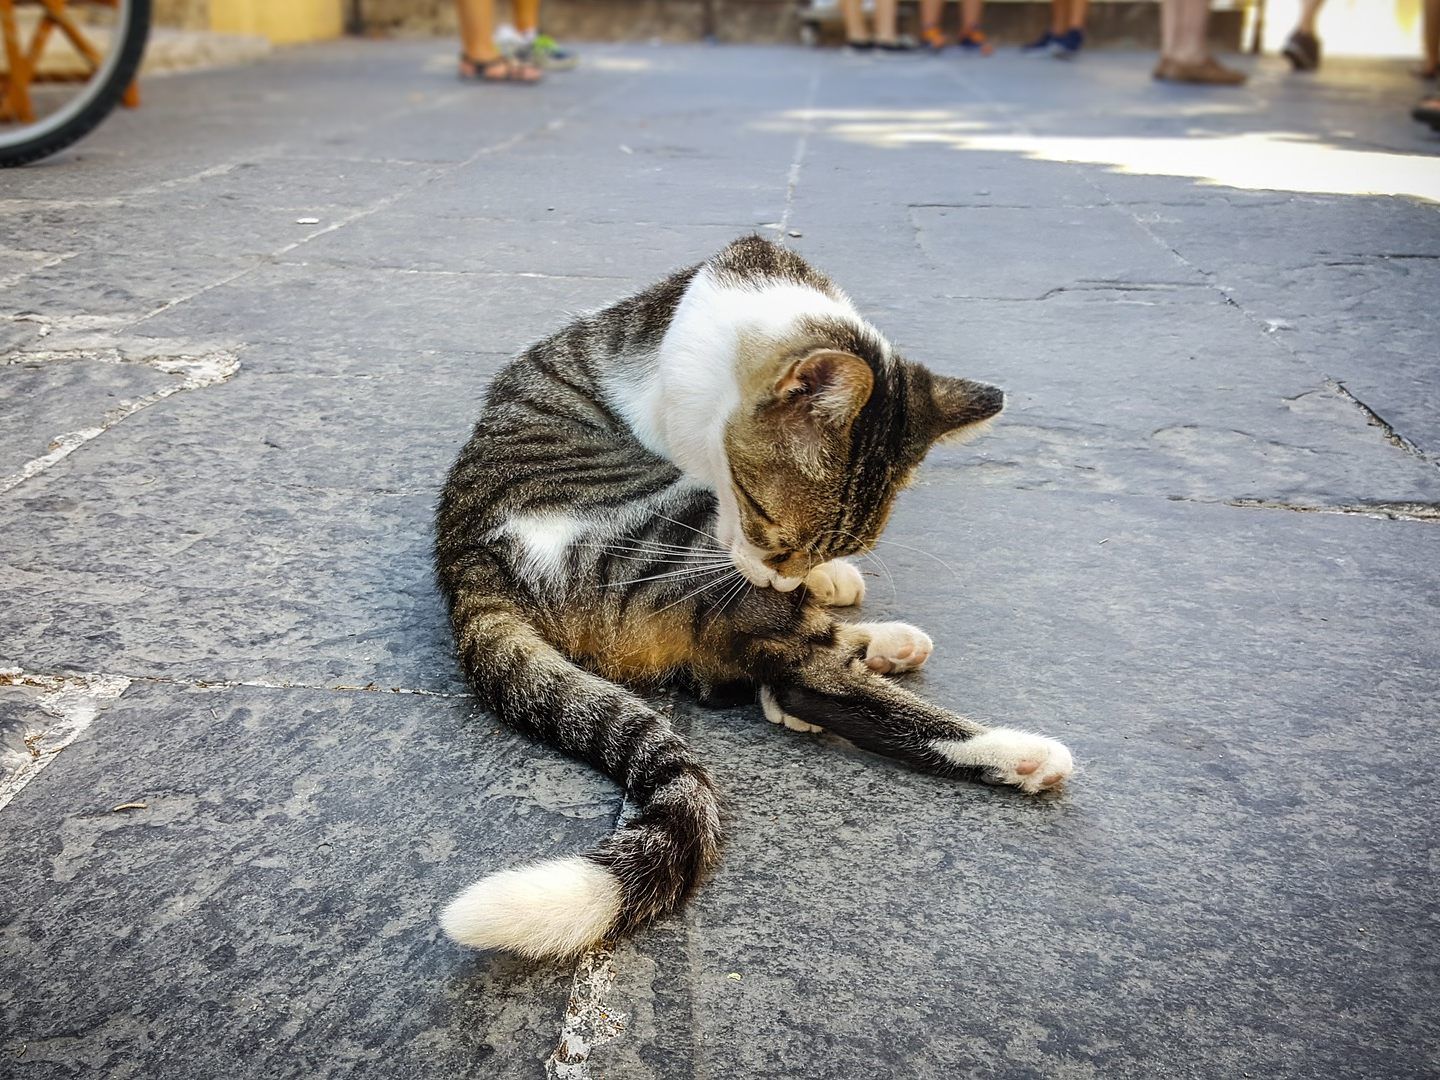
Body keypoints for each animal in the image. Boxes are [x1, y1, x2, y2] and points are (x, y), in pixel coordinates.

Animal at [432, 236, 1077, 961]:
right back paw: (1016, 750)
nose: (784, 580)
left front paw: (829, 578)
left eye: (824, 544)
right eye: (772, 528)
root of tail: (466, 561)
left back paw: (880, 645)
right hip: (659, 532)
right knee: (806, 677)